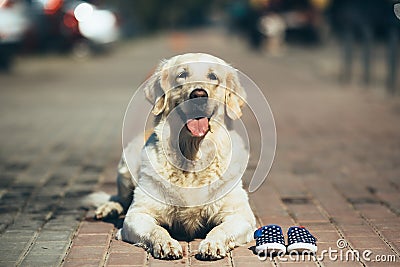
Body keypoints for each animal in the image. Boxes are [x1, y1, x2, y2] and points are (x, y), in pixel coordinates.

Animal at [90, 53, 255, 260]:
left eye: (213, 76)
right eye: (182, 75)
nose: (198, 95)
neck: (193, 154)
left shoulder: (240, 214)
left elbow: (221, 229)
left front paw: (212, 244)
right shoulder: (137, 214)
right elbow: (156, 230)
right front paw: (166, 244)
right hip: (125, 166)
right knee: (120, 198)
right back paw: (108, 208)